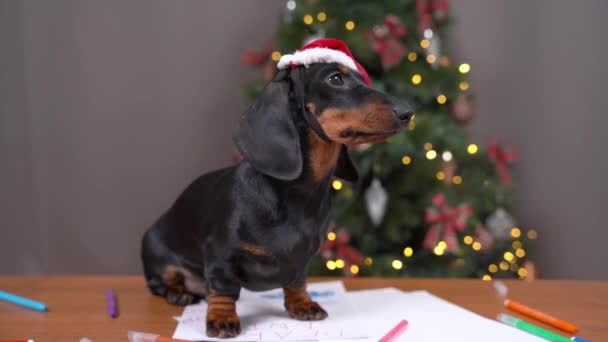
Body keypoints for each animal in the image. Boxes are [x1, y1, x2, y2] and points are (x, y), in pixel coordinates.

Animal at [141, 42, 414, 336]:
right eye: (335, 79)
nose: (408, 113)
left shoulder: (301, 260)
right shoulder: (221, 256)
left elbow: (297, 282)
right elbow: (224, 290)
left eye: (362, 78)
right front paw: (222, 317)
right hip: (155, 250)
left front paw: (301, 304)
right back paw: (177, 292)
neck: (301, 195)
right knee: (160, 282)